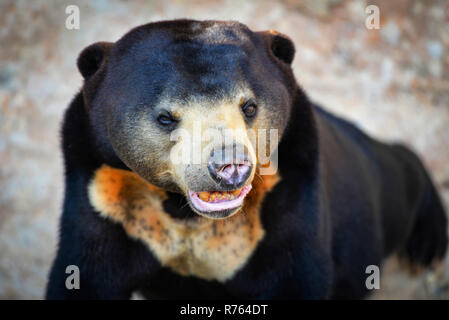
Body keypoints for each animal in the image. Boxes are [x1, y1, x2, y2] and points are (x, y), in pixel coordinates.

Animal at [47, 19, 446, 300]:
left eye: (249, 107)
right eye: (165, 118)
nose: (229, 167)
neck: (185, 214)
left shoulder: (291, 190)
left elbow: (296, 274)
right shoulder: (103, 192)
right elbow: (85, 274)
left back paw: (425, 248)